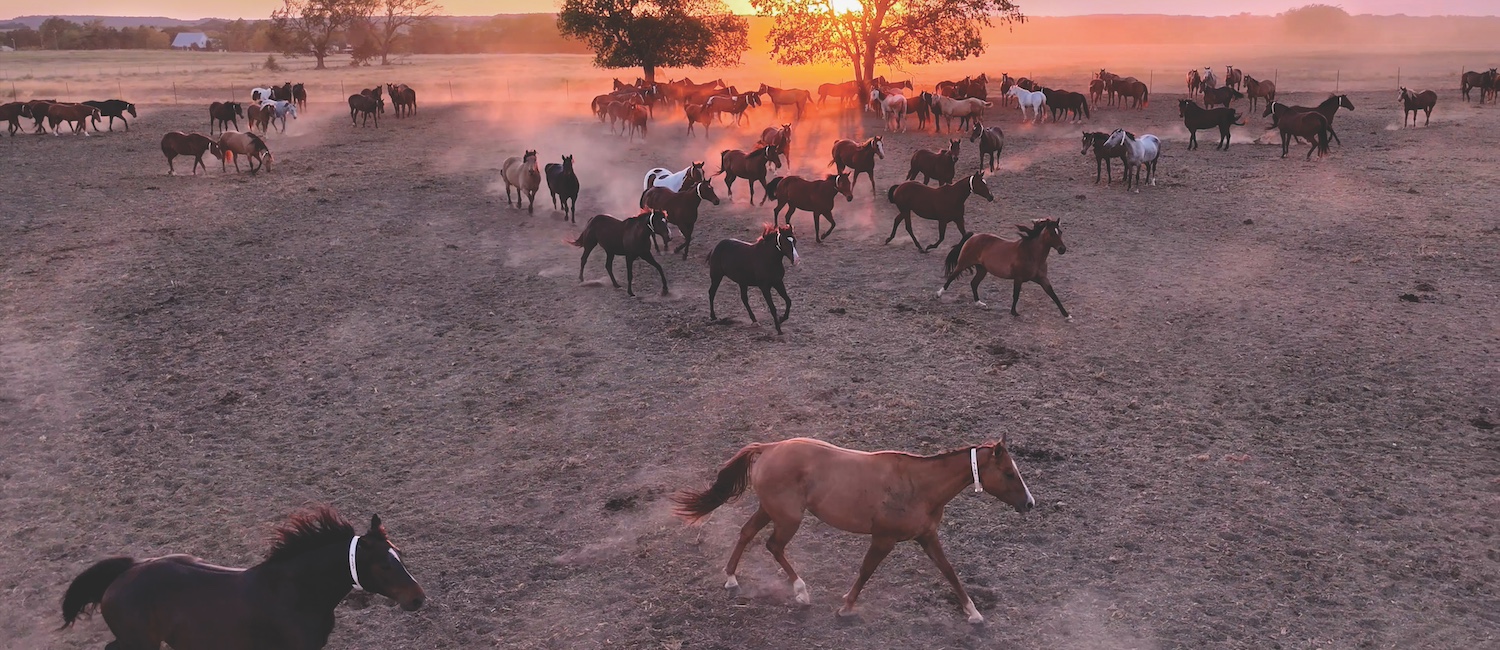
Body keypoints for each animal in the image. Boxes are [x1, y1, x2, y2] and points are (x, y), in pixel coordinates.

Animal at [59, 507, 423, 650]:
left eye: (399, 555)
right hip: (139, 642)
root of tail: (124, 574)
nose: (418, 597)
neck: (298, 592)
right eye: (384, 566)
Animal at [672, 437, 1032, 622]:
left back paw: (731, 578)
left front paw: (973, 612)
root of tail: (770, 447)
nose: (1029, 503)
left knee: (747, 533)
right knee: (773, 546)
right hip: (789, 518)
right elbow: (866, 570)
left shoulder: (927, 536)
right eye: (1009, 473)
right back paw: (801, 592)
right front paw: (846, 606)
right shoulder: (884, 539)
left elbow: (949, 571)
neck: (919, 485)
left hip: (770, 510)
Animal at [939, 219, 1069, 319]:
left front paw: (1067, 315)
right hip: (963, 264)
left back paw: (979, 304)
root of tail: (973, 236)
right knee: (951, 277)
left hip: (982, 269)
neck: (1032, 254)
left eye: (1060, 232)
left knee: (973, 283)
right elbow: (1016, 295)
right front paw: (1014, 312)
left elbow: (1053, 294)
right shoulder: (1018, 278)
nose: (1062, 249)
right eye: (1052, 233)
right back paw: (938, 294)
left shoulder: (1042, 279)